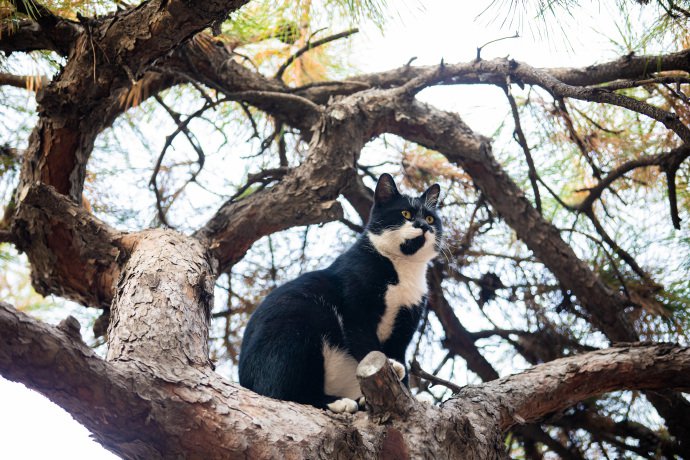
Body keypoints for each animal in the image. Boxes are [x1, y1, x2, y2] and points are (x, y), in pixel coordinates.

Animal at [236, 173, 440, 414]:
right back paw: (338, 402)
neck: (402, 270)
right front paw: (394, 370)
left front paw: (412, 397)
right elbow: (365, 342)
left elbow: (398, 353)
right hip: (300, 319)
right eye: (405, 214)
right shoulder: (355, 307)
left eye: (430, 218)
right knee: (278, 390)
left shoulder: (406, 323)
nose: (423, 225)